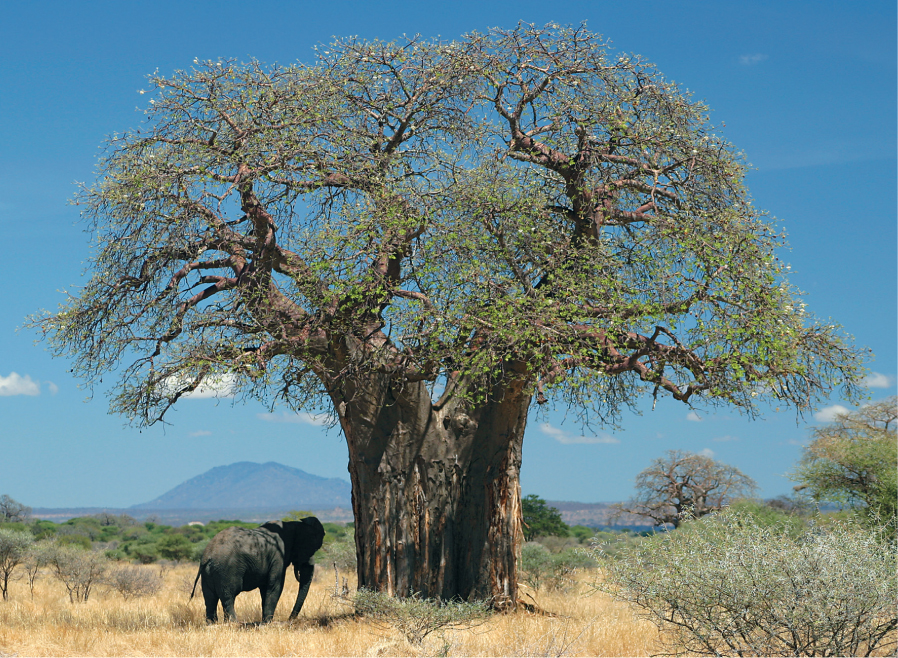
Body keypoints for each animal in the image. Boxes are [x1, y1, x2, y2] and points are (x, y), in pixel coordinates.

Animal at [189, 516, 326, 620]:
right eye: (311, 548)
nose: (289, 620)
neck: (293, 524)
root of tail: (207, 556)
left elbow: (265, 589)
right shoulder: (278, 557)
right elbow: (275, 586)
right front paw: (268, 623)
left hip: (208, 573)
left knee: (210, 598)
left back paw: (213, 624)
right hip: (226, 570)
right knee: (228, 597)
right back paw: (233, 623)